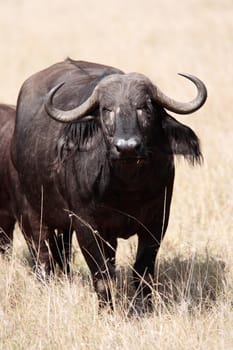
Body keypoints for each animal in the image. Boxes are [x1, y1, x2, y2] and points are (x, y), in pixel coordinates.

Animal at [11, 58, 207, 308]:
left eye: (145, 107)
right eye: (107, 109)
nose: (127, 147)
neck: (126, 190)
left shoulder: (157, 223)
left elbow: (142, 272)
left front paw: (143, 308)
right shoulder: (86, 226)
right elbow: (102, 276)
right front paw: (107, 309)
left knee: (62, 252)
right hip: (30, 213)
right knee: (42, 254)